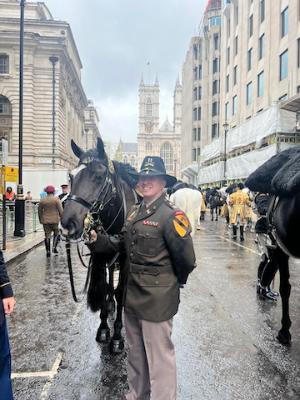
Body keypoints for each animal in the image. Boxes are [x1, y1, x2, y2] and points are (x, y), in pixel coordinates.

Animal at [61, 137, 138, 354]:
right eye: (71, 176)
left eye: (98, 175)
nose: (68, 223)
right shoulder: (100, 255)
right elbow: (104, 287)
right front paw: (104, 328)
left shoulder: (126, 261)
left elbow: (121, 291)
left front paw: (117, 336)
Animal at [245, 145, 300, 346]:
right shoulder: (280, 247)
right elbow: (285, 287)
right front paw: (284, 330)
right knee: (269, 265)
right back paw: (263, 289)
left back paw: (264, 289)